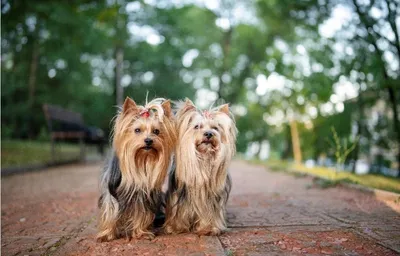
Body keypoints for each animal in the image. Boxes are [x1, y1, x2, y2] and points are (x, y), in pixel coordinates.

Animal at [163, 99, 236, 235]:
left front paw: (208, 228)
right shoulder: (179, 196)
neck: (204, 158)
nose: (209, 134)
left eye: (215, 128)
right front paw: (176, 228)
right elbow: (178, 212)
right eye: (197, 127)